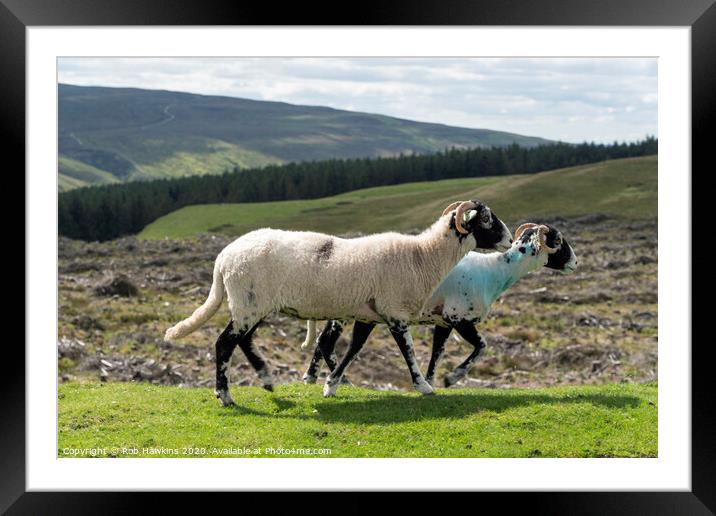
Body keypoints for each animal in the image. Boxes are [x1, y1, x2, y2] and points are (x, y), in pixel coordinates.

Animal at [166, 200, 516, 406]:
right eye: (486, 219)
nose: (511, 240)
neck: (422, 256)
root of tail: (223, 258)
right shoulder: (395, 312)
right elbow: (408, 352)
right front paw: (424, 387)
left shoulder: (369, 315)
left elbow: (353, 350)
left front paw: (331, 386)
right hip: (248, 303)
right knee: (224, 343)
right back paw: (225, 395)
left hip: (253, 305)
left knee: (244, 341)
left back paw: (265, 378)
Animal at [300, 222, 576, 388]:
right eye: (559, 241)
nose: (575, 262)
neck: (495, 272)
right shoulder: (459, 318)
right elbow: (482, 346)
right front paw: (451, 378)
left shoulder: (443, 321)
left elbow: (437, 352)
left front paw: (432, 381)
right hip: (343, 311)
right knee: (326, 342)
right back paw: (338, 380)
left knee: (322, 341)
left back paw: (314, 377)